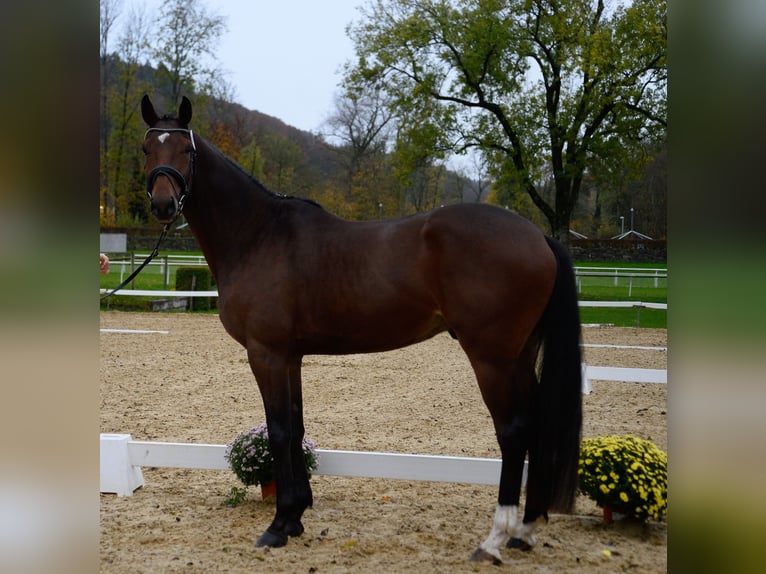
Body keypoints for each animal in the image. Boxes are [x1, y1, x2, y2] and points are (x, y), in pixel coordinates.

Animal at [141, 95, 584, 568]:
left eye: (185, 151)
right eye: (147, 149)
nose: (164, 205)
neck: (258, 235)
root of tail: (537, 236)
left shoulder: (266, 354)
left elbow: (278, 431)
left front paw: (278, 526)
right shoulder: (290, 357)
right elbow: (295, 428)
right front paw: (296, 515)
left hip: (492, 358)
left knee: (514, 431)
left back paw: (495, 538)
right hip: (520, 355)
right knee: (536, 424)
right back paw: (527, 529)